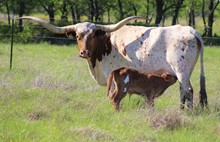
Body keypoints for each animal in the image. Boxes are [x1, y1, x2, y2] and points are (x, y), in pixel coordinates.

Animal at [18, 15, 207, 108]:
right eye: (78, 36)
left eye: (93, 35)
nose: (84, 52)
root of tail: (191, 31)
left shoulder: (112, 75)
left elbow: (111, 95)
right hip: (182, 73)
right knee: (183, 91)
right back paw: (181, 110)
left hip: (181, 70)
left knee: (189, 90)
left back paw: (187, 113)